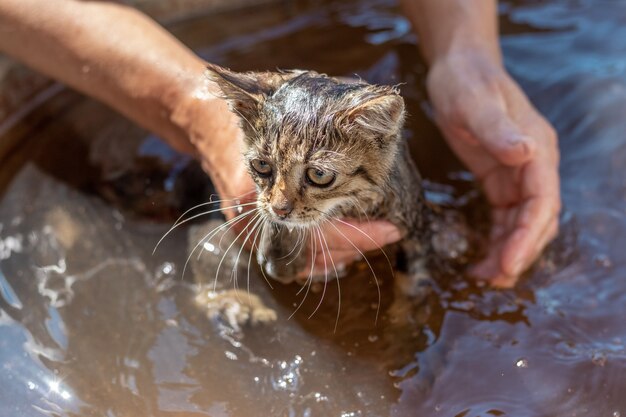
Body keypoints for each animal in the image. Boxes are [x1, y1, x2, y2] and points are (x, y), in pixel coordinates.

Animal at [202, 64, 466, 318]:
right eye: (261, 165)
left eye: (319, 175)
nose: (280, 210)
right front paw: (280, 254)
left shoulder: (416, 225)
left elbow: (412, 284)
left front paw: (402, 322)